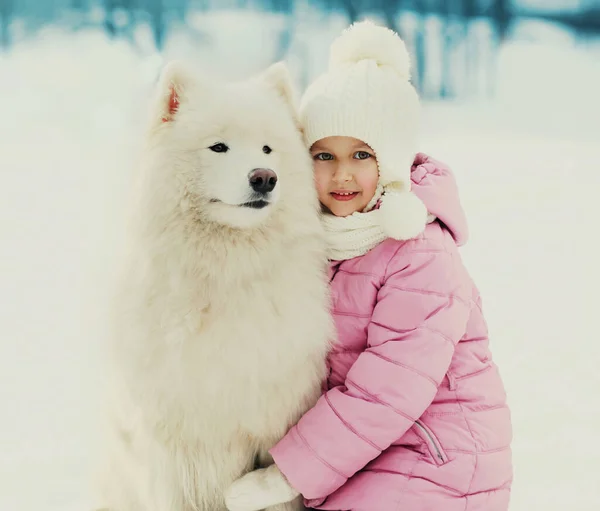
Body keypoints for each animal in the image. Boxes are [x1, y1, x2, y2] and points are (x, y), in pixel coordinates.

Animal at [98, 61, 332, 511]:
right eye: (218, 147)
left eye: (267, 149)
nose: (265, 178)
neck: (229, 272)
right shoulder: (175, 451)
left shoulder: (273, 425)